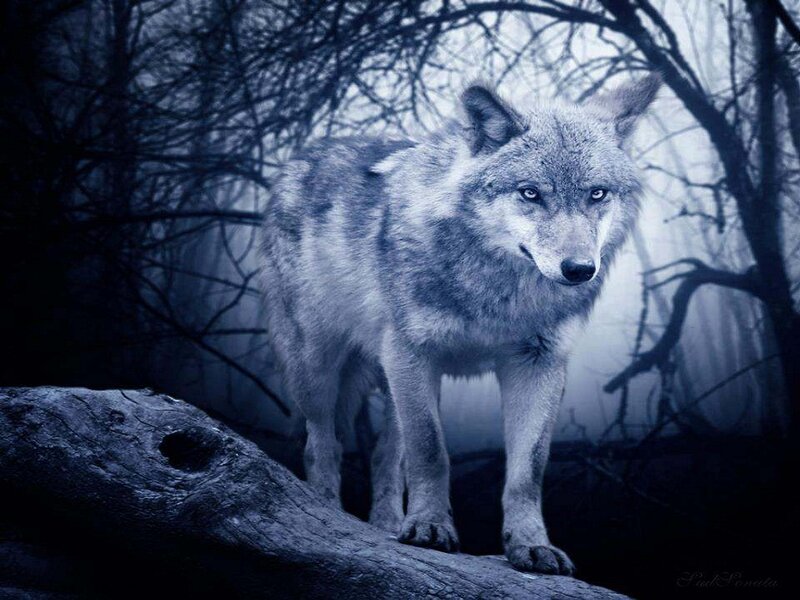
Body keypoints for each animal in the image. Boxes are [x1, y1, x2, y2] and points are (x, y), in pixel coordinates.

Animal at [260, 73, 660, 574]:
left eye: (597, 193)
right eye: (531, 193)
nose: (579, 269)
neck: (500, 296)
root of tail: (302, 156)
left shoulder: (538, 365)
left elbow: (528, 470)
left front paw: (530, 545)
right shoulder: (412, 353)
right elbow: (431, 450)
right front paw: (431, 528)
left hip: (389, 381)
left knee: (386, 455)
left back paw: (387, 525)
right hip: (318, 368)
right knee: (323, 444)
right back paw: (329, 513)